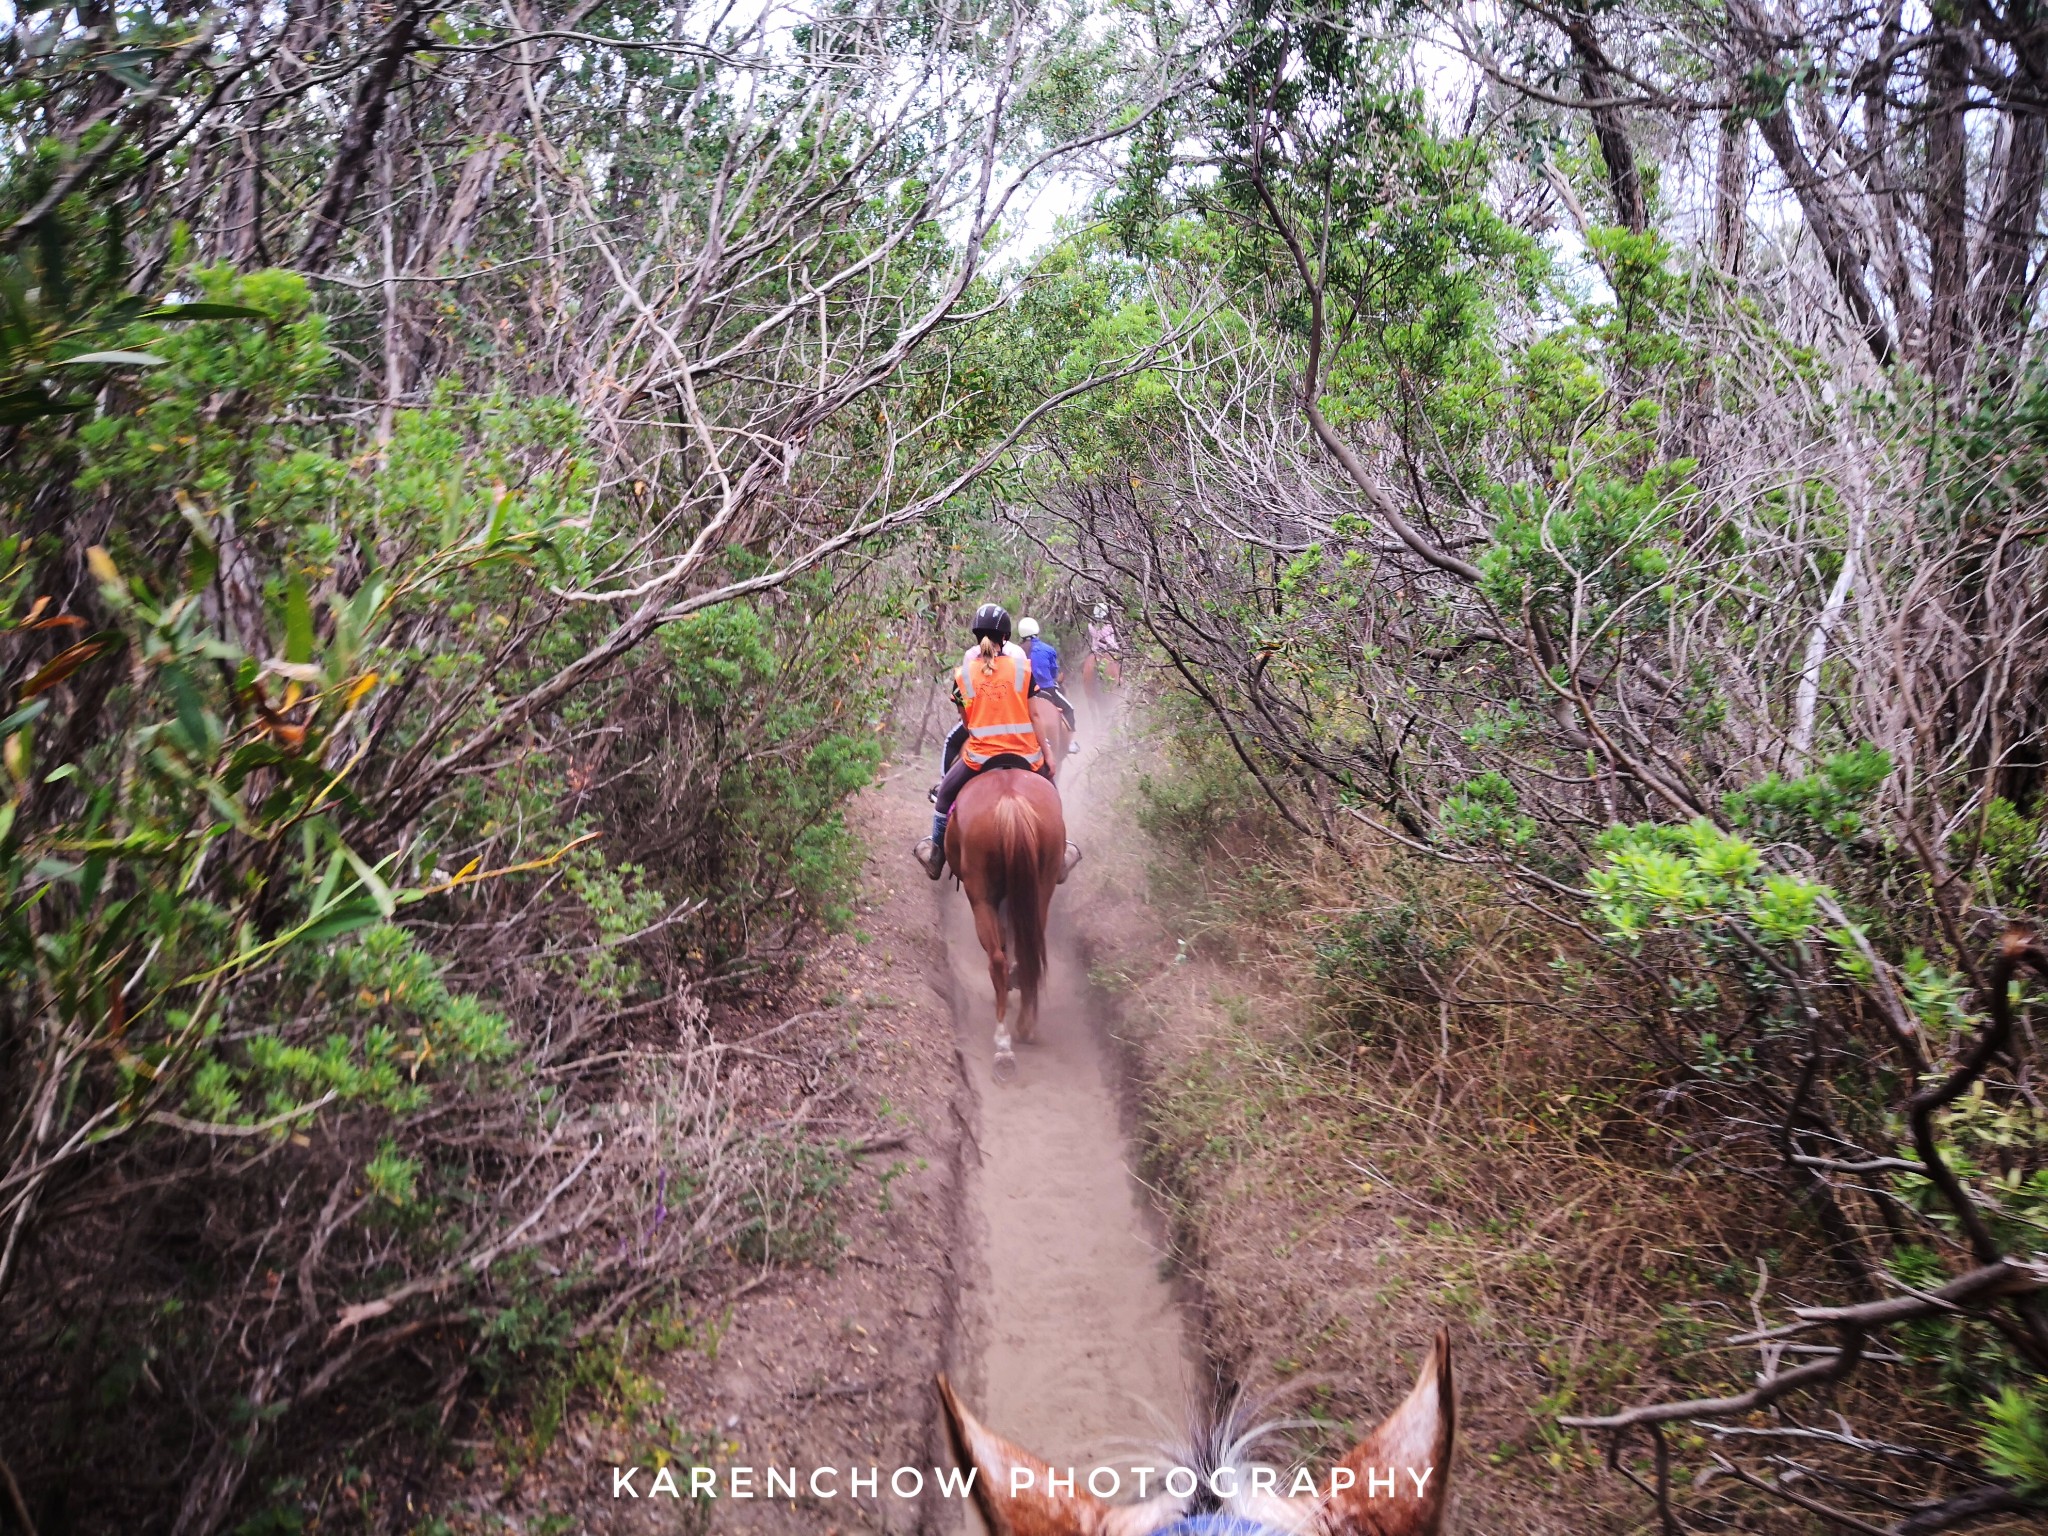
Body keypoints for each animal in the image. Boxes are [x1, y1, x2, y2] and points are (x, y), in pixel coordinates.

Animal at [946, 765, 1064, 1081]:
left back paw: (1003, 1044)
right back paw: (1025, 1025)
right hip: (1042, 885)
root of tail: (1011, 804)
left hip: (980, 893)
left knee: (997, 960)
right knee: (1028, 954)